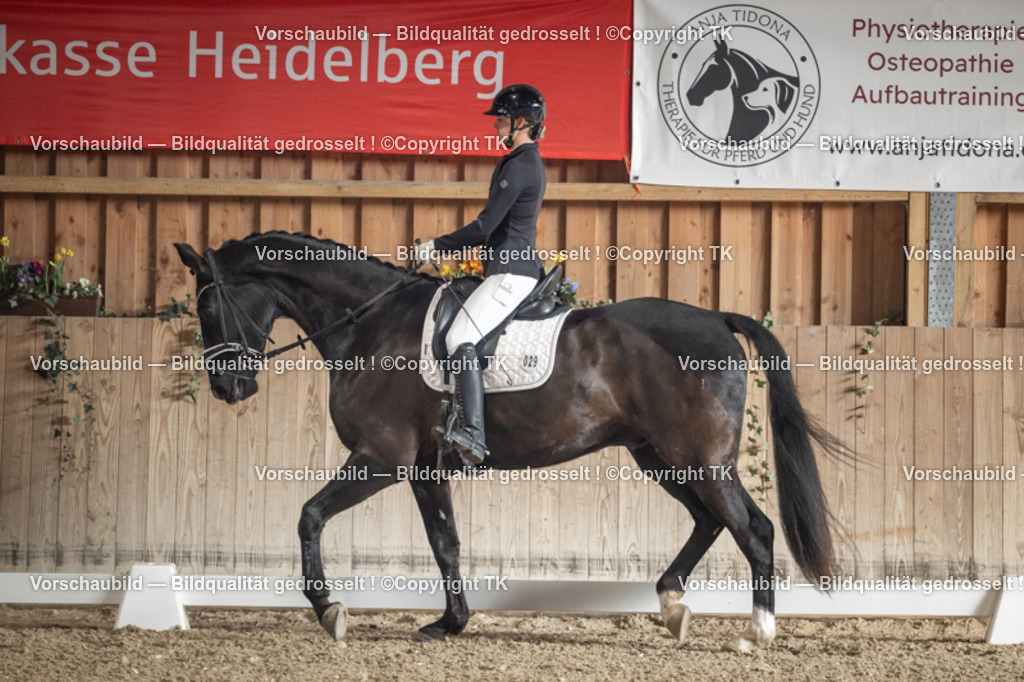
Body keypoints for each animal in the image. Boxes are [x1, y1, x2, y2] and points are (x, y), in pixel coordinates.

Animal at [175, 231, 842, 653]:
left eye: (207, 308)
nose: (227, 387)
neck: (369, 325)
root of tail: (717, 319)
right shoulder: (425, 468)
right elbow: (445, 543)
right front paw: (451, 623)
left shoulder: (381, 459)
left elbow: (309, 515)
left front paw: (330, 610)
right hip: (662, 458)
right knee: (710, 522)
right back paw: (674, 606)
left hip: (701, 461)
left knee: (752, 529)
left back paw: (756, 633)